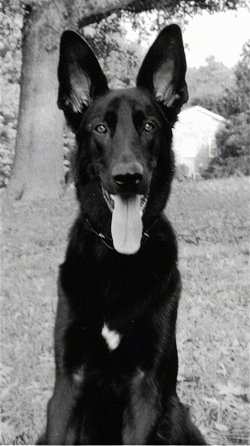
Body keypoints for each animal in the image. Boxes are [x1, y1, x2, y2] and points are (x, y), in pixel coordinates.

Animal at [43, 25, 205, 446]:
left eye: (148, 126)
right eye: (101, 128)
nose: (128, 177)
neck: (116, 260)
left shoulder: (147, 387)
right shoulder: (67, 383)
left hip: (178, 417)